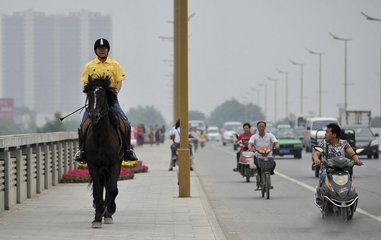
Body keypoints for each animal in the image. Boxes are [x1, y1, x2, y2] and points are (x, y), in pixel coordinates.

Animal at [83, 75, 123, 229]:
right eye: (89, 95)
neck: (101, 137)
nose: (94, 116)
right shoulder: (93, 165)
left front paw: (110, 210)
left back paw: (108, 212)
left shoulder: (114, 164)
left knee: (110, 186)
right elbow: (97, 190)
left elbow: (113, 189)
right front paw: (97, 218)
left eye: (103, 95)